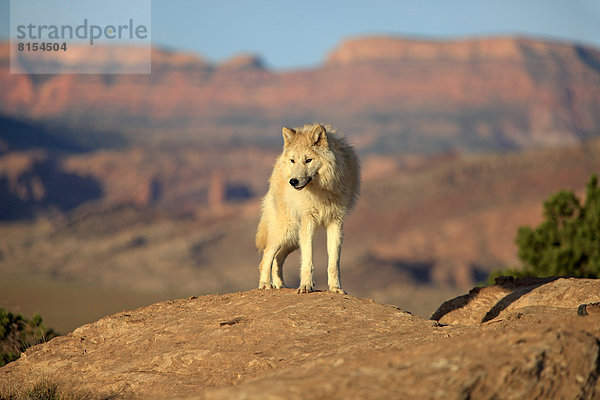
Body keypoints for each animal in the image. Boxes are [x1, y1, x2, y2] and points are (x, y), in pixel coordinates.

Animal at [254, 122, 358, 294]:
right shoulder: (309, 221)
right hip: (286, 231)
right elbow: (308, 261)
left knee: (277, 258)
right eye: (293, 160)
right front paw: (306, 286)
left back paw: (281, 285)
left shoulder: (335, 222)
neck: (322, 190)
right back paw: (265, 284)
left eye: (308, 160)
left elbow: (334, 262)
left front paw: (335, 288)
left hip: (294, 238)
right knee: (267, 256)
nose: (293, 182)